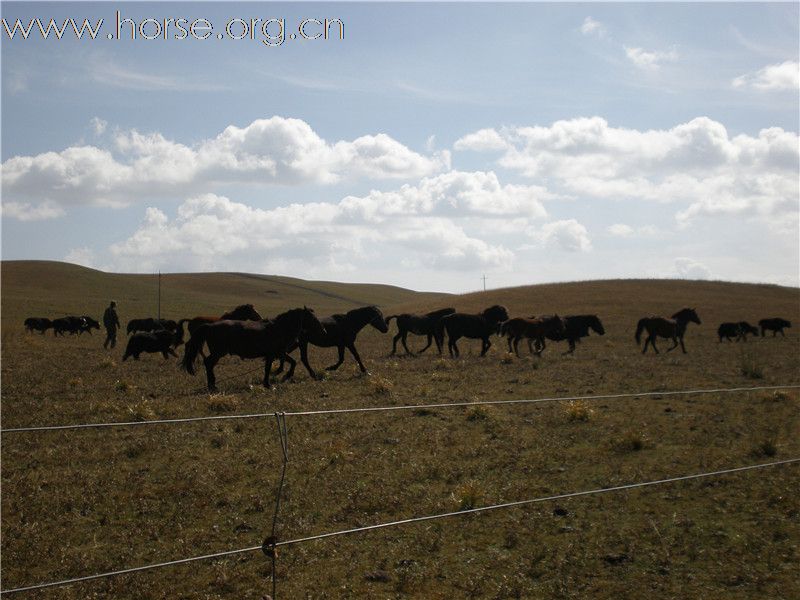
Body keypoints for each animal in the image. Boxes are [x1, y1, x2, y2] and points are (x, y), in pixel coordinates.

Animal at [180, 308, 322, 392]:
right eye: (313, 318)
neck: (279, 328)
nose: (323, 331)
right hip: (218, 353)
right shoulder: (274, 354)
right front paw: (271, 383)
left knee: (209, 364)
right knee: (208, 363)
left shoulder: (278, 353)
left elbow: (291, 362)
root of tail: (209, 326)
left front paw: (282, 376)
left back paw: (212, 385)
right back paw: (212, 385)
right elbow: (271, 368)